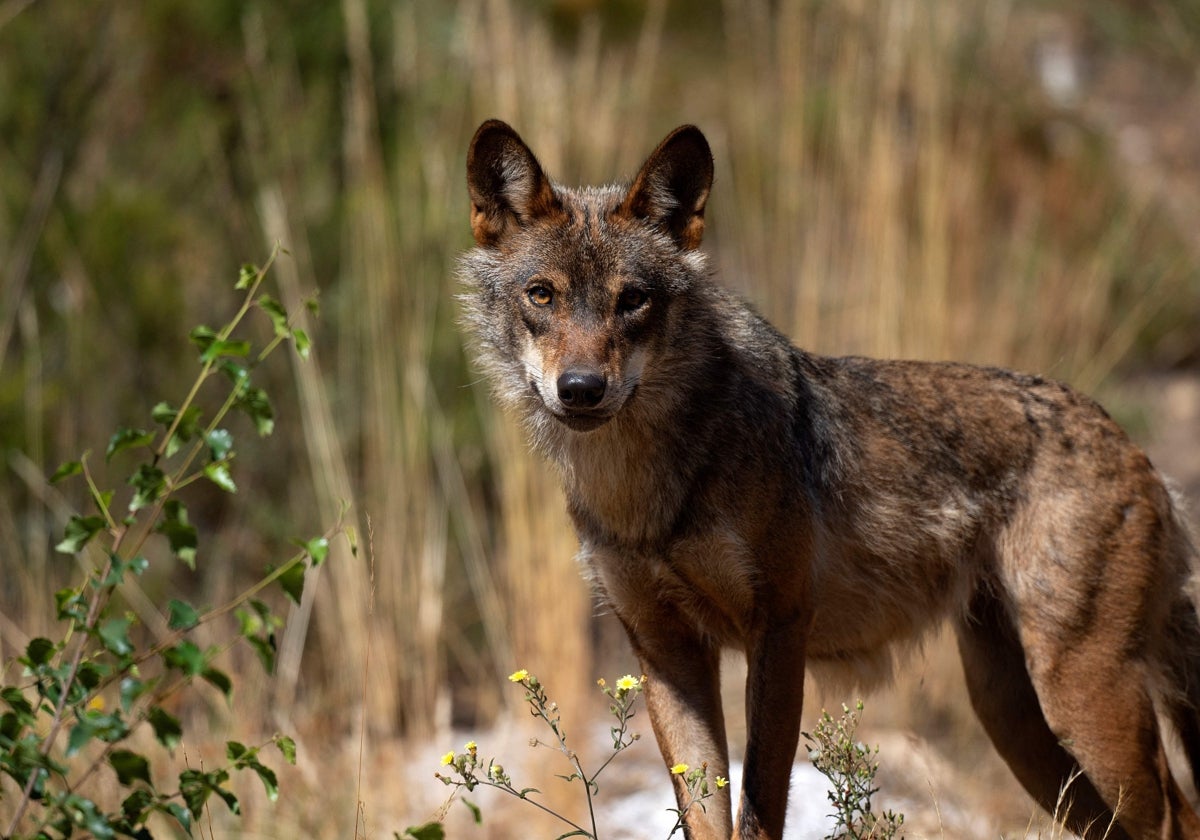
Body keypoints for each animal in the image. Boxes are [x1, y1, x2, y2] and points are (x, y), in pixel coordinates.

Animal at [456, 120, 1200, 840]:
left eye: (632, 300)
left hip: (1078, 702)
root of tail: (1137, 449)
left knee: (1178, 815)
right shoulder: (665, 650)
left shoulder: (781, 628)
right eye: (542, 295)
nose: (581, 389)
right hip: (1016, 723)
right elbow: (706, 816)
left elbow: (758, 813)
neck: (648, 490)